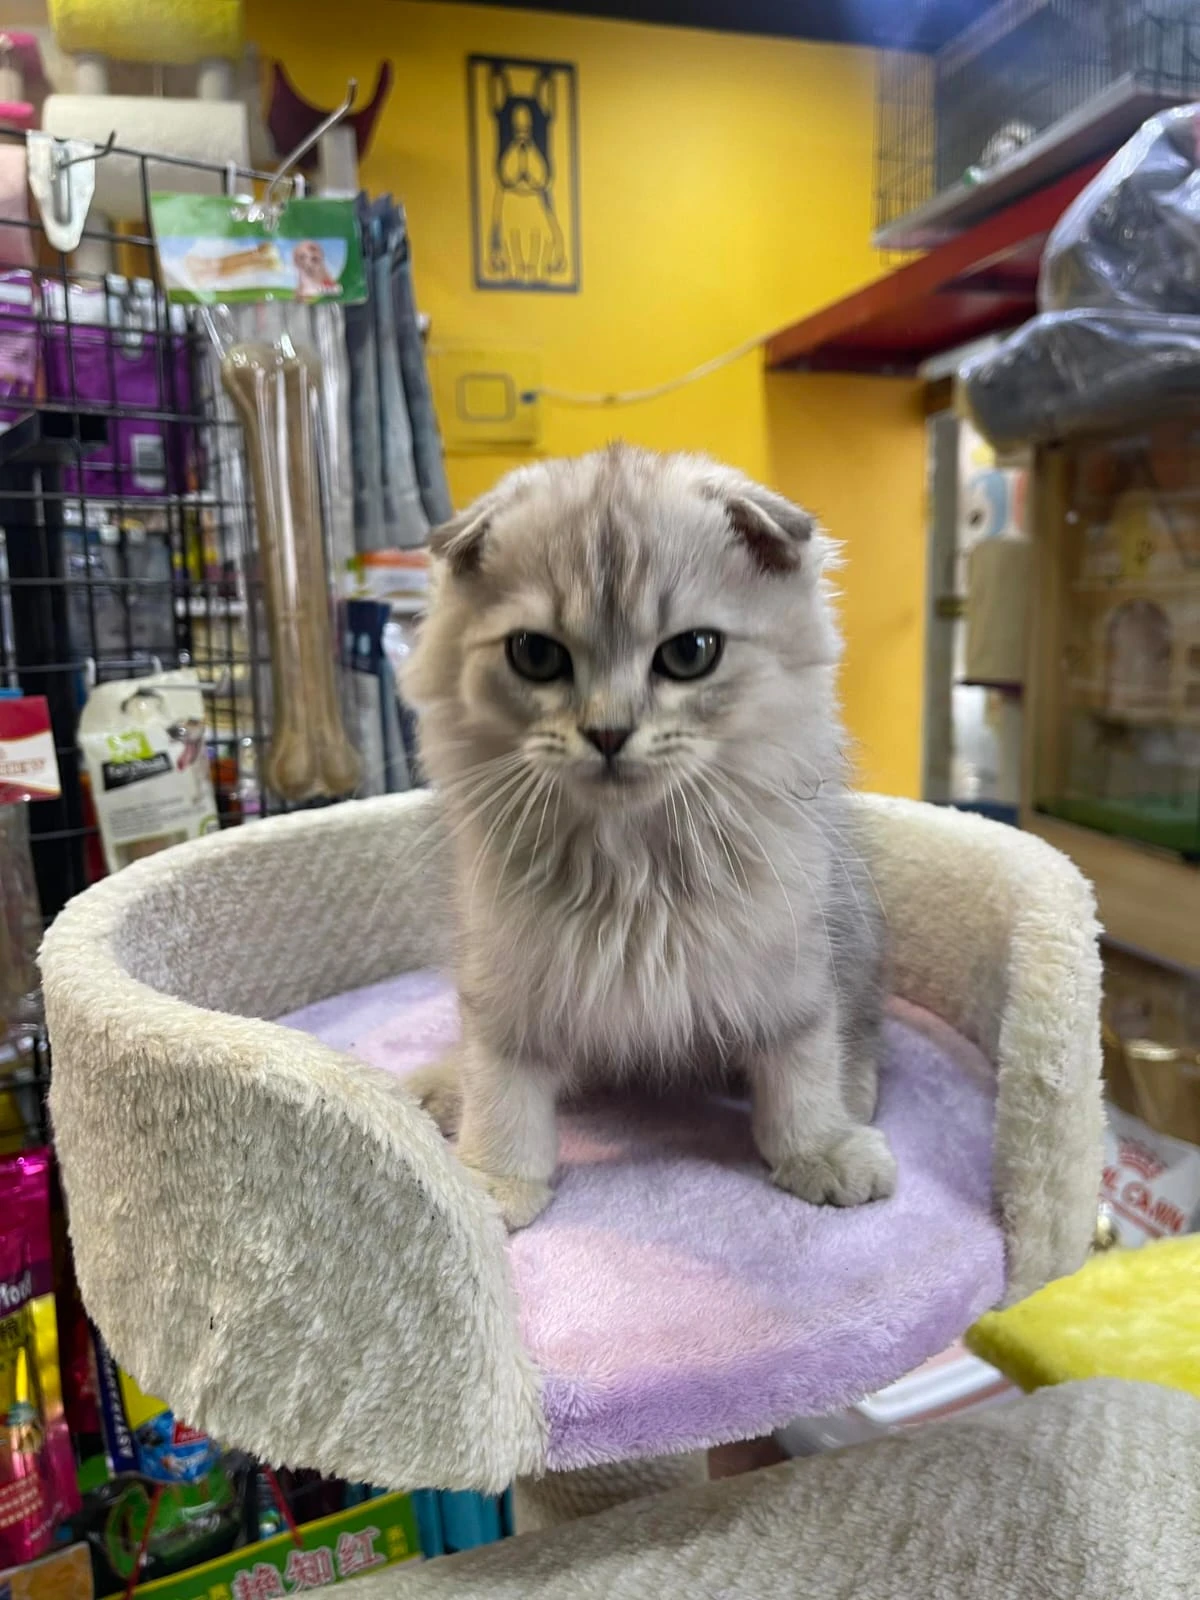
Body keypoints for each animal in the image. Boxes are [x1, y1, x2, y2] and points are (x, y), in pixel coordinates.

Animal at [409, 444, 896, 1228]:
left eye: (691, 652)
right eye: (534, 655)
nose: (608, 733)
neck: (631, 864)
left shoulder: (787, 963)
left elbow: (802, 1060)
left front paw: (818, 1147)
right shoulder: (507, 974)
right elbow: (501, 1082)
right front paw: (493, 1178)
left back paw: (855, 1096)